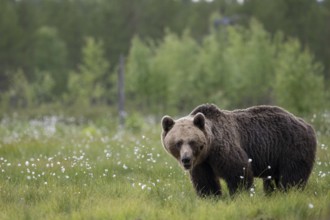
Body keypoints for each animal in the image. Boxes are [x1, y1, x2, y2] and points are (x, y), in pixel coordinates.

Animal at [161, 104, 316, 197]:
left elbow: (238, 171)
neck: (209, 150)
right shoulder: (202, 163)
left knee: (292, 175)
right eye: (178, 143)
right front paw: (210, 196)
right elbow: (205, 181)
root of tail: (306, 124)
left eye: (192, 142)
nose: (186, 159)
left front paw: (240, 195)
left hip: (291, 147)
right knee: (272, 179)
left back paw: (289, 192)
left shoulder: (224, 150)